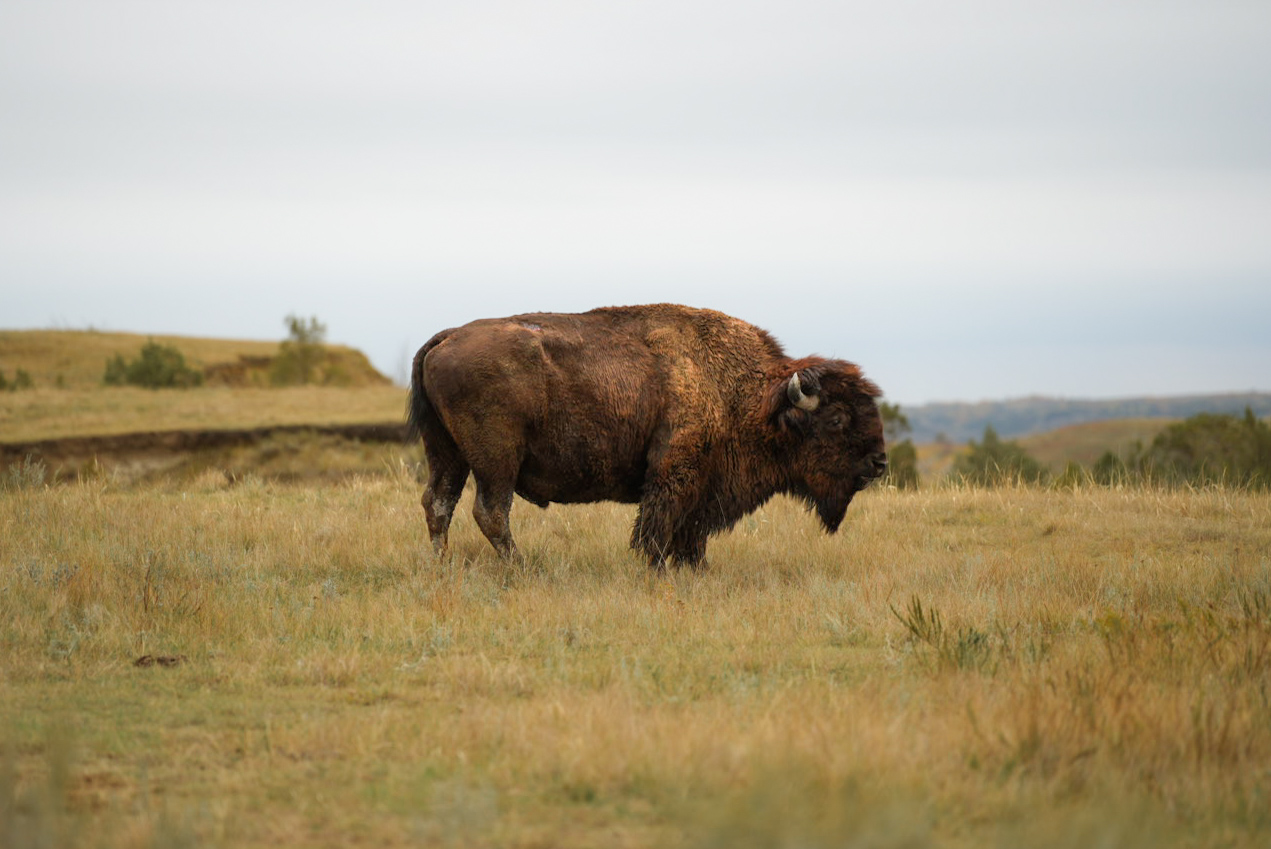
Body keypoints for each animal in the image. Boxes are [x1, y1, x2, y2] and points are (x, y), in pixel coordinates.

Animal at [406, 303, 887, 569]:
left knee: (439, 503)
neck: (752, 396)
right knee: (490, 511)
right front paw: (655, 569)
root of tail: (447, 337)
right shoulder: (675, 474)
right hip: (496, 460)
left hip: (446, 453)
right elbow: (658, 528)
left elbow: (691, 535)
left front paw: (697, 571)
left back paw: (442, 565)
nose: (879, 463)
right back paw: (521, 568)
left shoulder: (702, 490)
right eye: (837, 419)